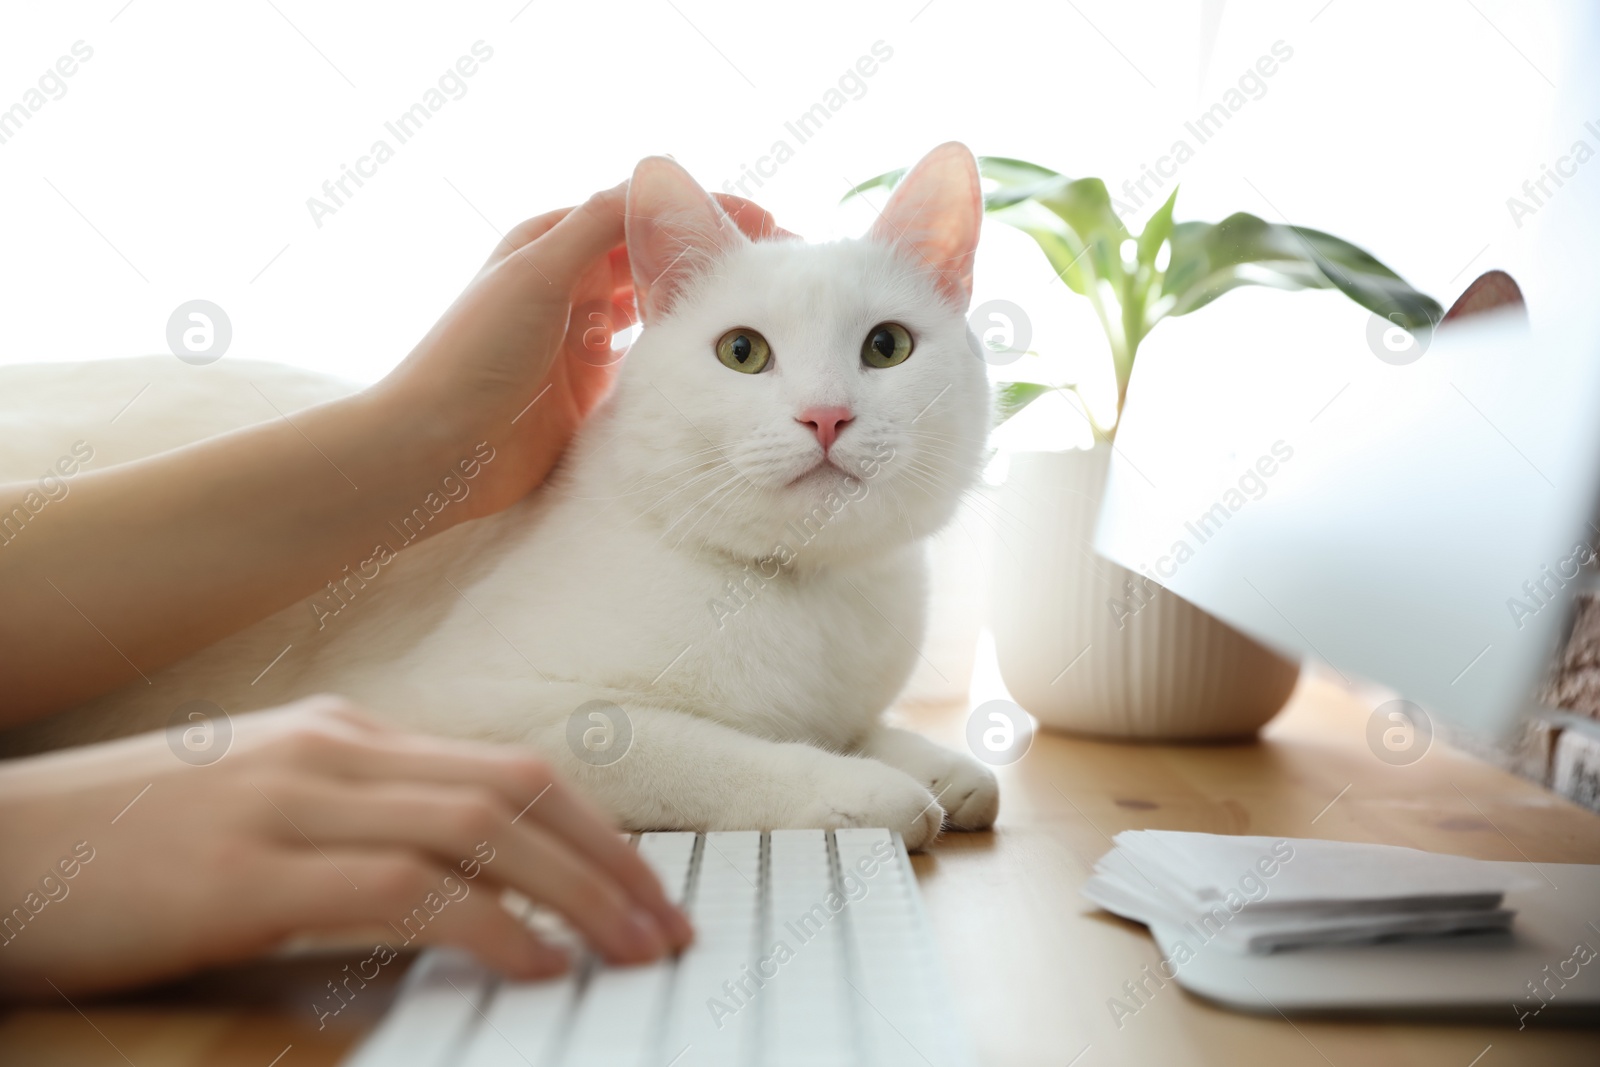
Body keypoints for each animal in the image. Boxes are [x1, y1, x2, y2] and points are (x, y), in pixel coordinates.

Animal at [0, 141, 998, 851]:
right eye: (743, 352)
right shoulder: (461, 719)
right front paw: (862, 787)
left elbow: (866, 725)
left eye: (886, 347)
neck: (802, 592)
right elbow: (699, 749)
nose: (826, 415)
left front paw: (940, 764)